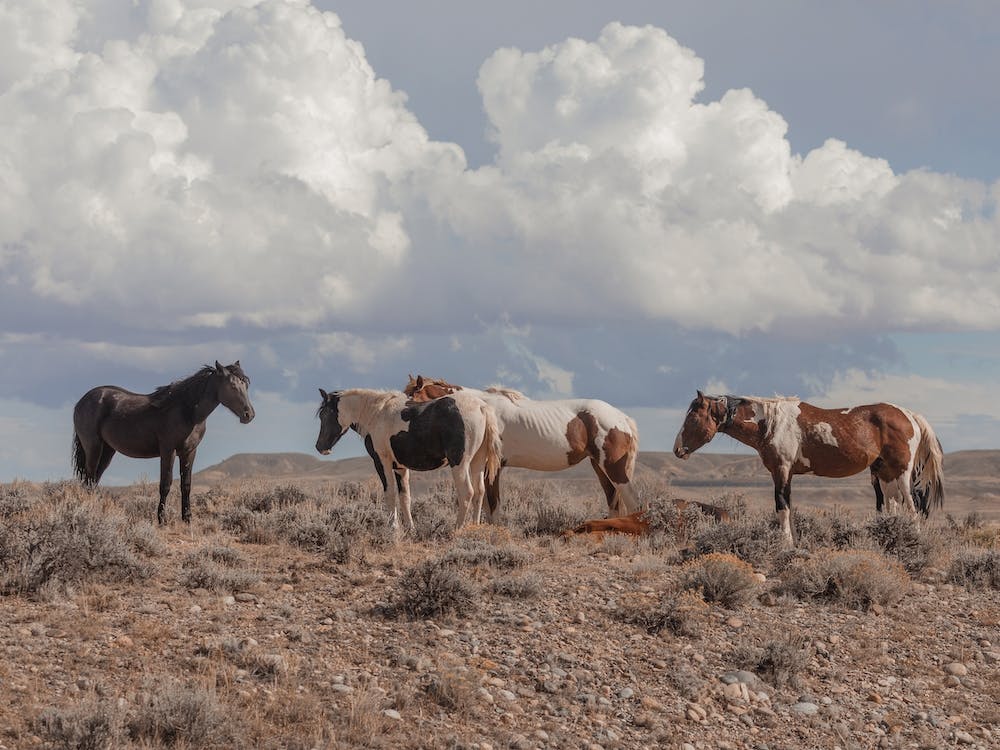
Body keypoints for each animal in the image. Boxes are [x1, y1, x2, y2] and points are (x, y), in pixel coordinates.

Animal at [72, 361, 255, 524]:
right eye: (232, 386)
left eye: (246, 384)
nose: (249, 414)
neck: (187, 411)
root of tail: (82, 401)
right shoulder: (168, 451)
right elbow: (165, 484)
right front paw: (162, 520)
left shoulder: (189, 452)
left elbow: (186, 485)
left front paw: (187, 518)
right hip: (93, 447)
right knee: (89, 478)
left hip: (108, 450)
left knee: (93, 480)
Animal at [314, 388, 502, 535]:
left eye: (326, 414)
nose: (320, 447)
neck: (375, 414)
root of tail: (481, 407)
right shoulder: (400, 467)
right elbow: (405, 496)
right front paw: (410, 528)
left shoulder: (382, 462)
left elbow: (390, 493)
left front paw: (393, 527)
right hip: (477, 462)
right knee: (479, 492)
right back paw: (474, 527)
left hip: (460, 463)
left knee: (467, 492)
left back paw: (457, 529)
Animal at [404, 375, 641, 519]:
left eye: (411, 396)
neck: (482, 407)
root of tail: (622, 418)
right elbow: (489, 505)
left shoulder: (493, 468)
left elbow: (493, 505)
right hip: (599, 466)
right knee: (613, 500)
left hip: (613, 467)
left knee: (632, 500)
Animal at [673, 391, 945, 544]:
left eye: (693, 417)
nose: (677, 449)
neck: (770, 423)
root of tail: (910, 415)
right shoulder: (788, 474)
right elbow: (789, 508)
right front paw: (793, 541)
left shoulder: (781, 471)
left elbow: (782, 508)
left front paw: (785, 543)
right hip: (884, 475)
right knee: (892, 507)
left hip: (901, 473)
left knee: (913, 508)